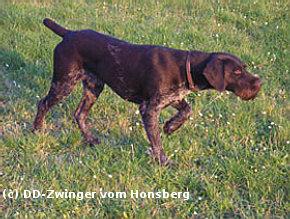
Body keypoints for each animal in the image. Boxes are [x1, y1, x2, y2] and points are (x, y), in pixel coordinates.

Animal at [32, 18, 262, 165]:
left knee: (79, 114)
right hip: (64, 83)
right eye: (237, 71)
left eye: (244, 67)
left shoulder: (171, 98)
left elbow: (187, 110)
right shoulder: (149, 108)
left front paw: (171, 126)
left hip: (93, 86)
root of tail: (69, 34)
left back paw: (91, 140)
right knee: (43, 103)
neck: (186, 66)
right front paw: (164, 162)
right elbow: (156, 142)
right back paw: (37, 130)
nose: (258, 83)